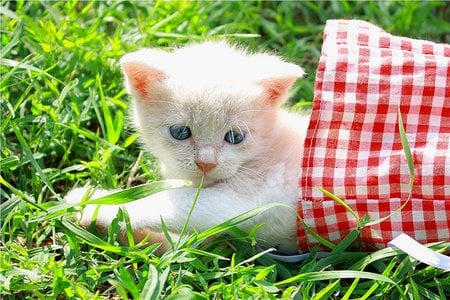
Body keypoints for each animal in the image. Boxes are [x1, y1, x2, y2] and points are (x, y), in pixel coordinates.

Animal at [66, 41, 310, 254]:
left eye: (235, 137)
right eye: (180, 132)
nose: (206, 163)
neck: (268, 145)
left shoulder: (253, 192)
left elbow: (171, 203)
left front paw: (91, 202)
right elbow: (175, 245)